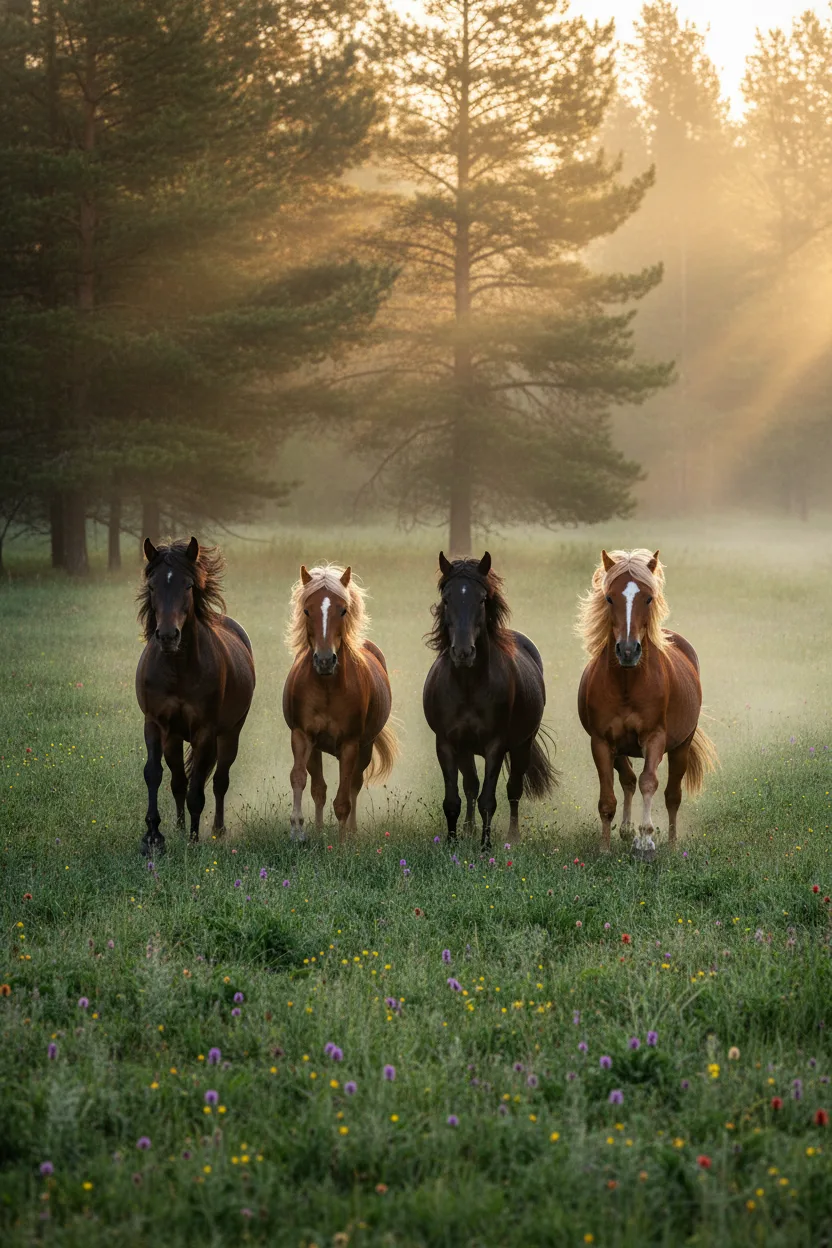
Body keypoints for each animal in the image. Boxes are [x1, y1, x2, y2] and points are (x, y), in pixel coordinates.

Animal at [135, 537, 255, 856]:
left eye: (188, 585)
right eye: (152, 585)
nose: (167, 636)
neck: (178, 669)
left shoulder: (205, 732)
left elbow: (198, 787)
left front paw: (193, 838)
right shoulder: (155, 724)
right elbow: (155, 774)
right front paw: (154, 837)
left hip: (230, 734)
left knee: (219, 781)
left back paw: (216, 830)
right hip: (174, 738)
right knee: (178, 779)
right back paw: (178, 828)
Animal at [282, 563, 397, 842]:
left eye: (343, 609)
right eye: (307, 610)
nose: (325, 660)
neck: (327, 687)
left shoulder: (350, 745)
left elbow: (343, 799)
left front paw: (343, 843)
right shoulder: (302, 736)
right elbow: (300, 779)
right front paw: (298, 830)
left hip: (365, 748)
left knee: (354, 785)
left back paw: (351, 833)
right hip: (317, 749)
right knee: (319, 789)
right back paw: (319, 830)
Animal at [423, 551, 557, 848]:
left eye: (483, 599)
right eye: (446, 599)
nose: (463, 652)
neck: (468, 686)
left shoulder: (496, 746)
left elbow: (489, 800)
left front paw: (486, 847)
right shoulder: (447, 744)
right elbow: (454, 799)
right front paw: (451, 843)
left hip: (521, 746)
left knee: (513, 789)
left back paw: (512, 836)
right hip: (466, 750)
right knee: (470, 786)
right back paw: (469, 829)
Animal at [576, 548, 718, 860]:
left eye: (649, 598)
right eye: (609, 598)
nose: (628, 651)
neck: (628, 684)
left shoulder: (655, 738)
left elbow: (648, 782)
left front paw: (646, 842)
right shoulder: (601, 742)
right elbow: (608, 797)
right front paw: (605, 848)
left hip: (681, 747)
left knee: (672, 796)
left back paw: (672, 844)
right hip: (620, 749)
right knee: (628, 780)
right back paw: (627, 830)